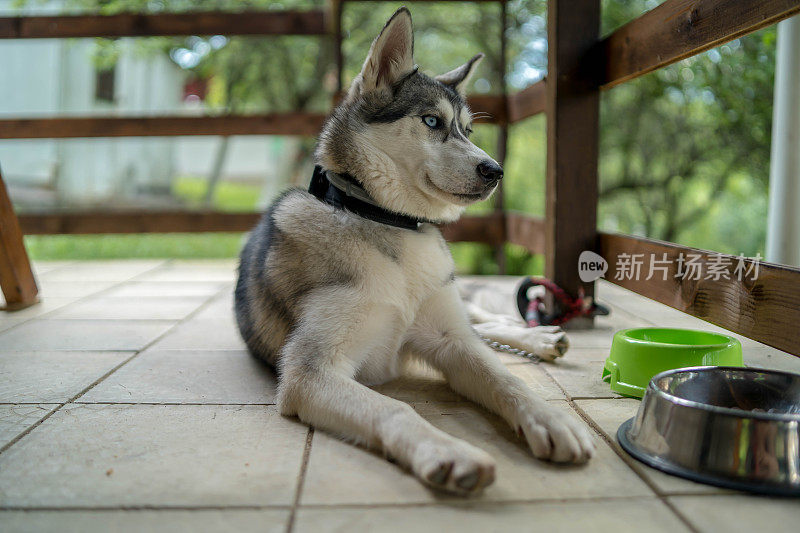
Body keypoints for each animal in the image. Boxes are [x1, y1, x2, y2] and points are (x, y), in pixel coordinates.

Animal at [233, 7, 592, 494]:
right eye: (432, 122)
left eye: (468, 129)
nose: (495, 170)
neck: (389, 222)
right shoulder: (311, 372)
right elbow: (395, 407)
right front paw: (448, 452)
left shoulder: (451, 342)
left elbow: (504, 378)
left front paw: (551, 417)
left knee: (479, 321)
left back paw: (535, 336)